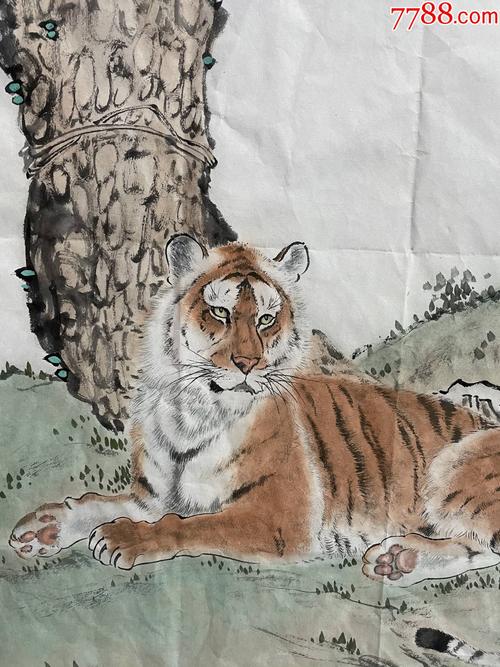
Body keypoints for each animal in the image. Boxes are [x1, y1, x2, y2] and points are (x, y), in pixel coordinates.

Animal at [9, 234, 500, 588]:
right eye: (220, 312)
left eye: (266, 319)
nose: (247, 363)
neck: (194, 412)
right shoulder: (152, 496)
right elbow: (97, 502)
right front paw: (42, 528)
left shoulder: (280, 516)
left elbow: (194, 525)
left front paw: (123, 537)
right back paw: (400, 560)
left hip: (453, 464)